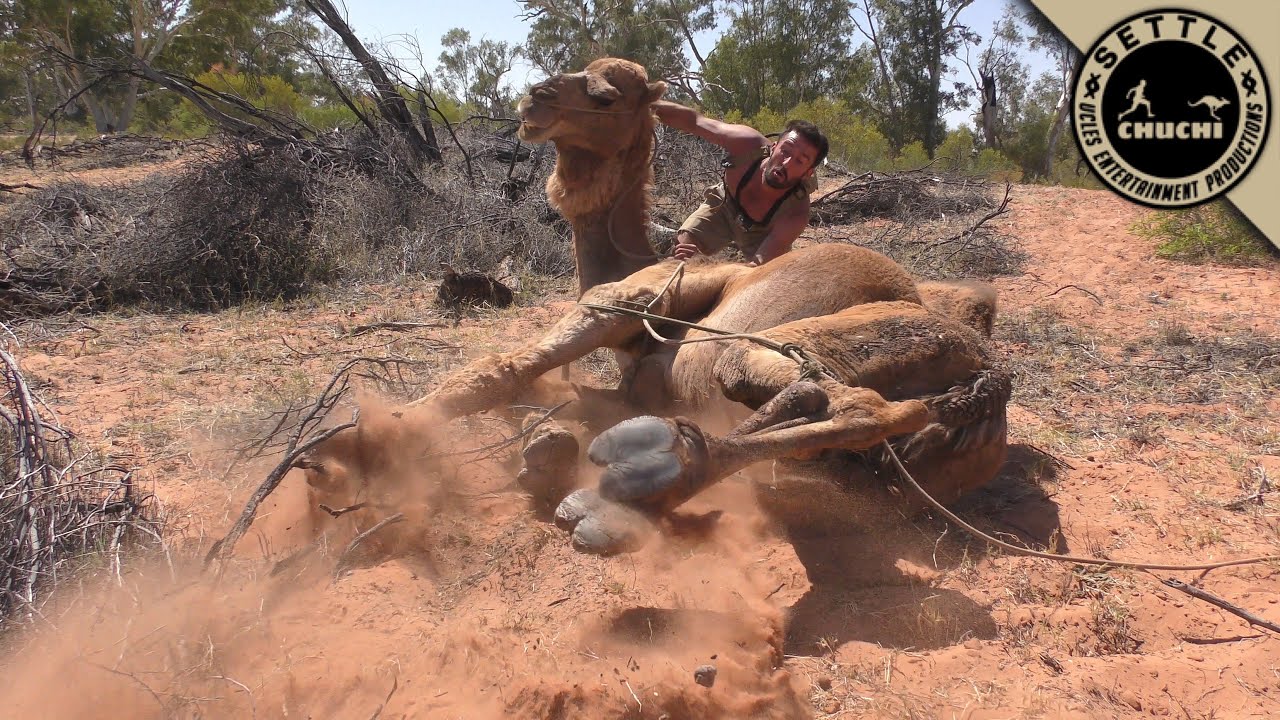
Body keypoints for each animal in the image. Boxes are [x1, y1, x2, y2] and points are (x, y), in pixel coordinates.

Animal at [300, 59, 1011, 556]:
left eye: (603, 94)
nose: (534, 100)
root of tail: (989, 379)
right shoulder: (635, 381)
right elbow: (577, 396)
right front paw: (543, 437)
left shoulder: (631, 298)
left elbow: (505, 368)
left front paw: (361, 443)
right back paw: (628, 478)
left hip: (816, 345)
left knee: (850, 401)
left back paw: (622, 497)